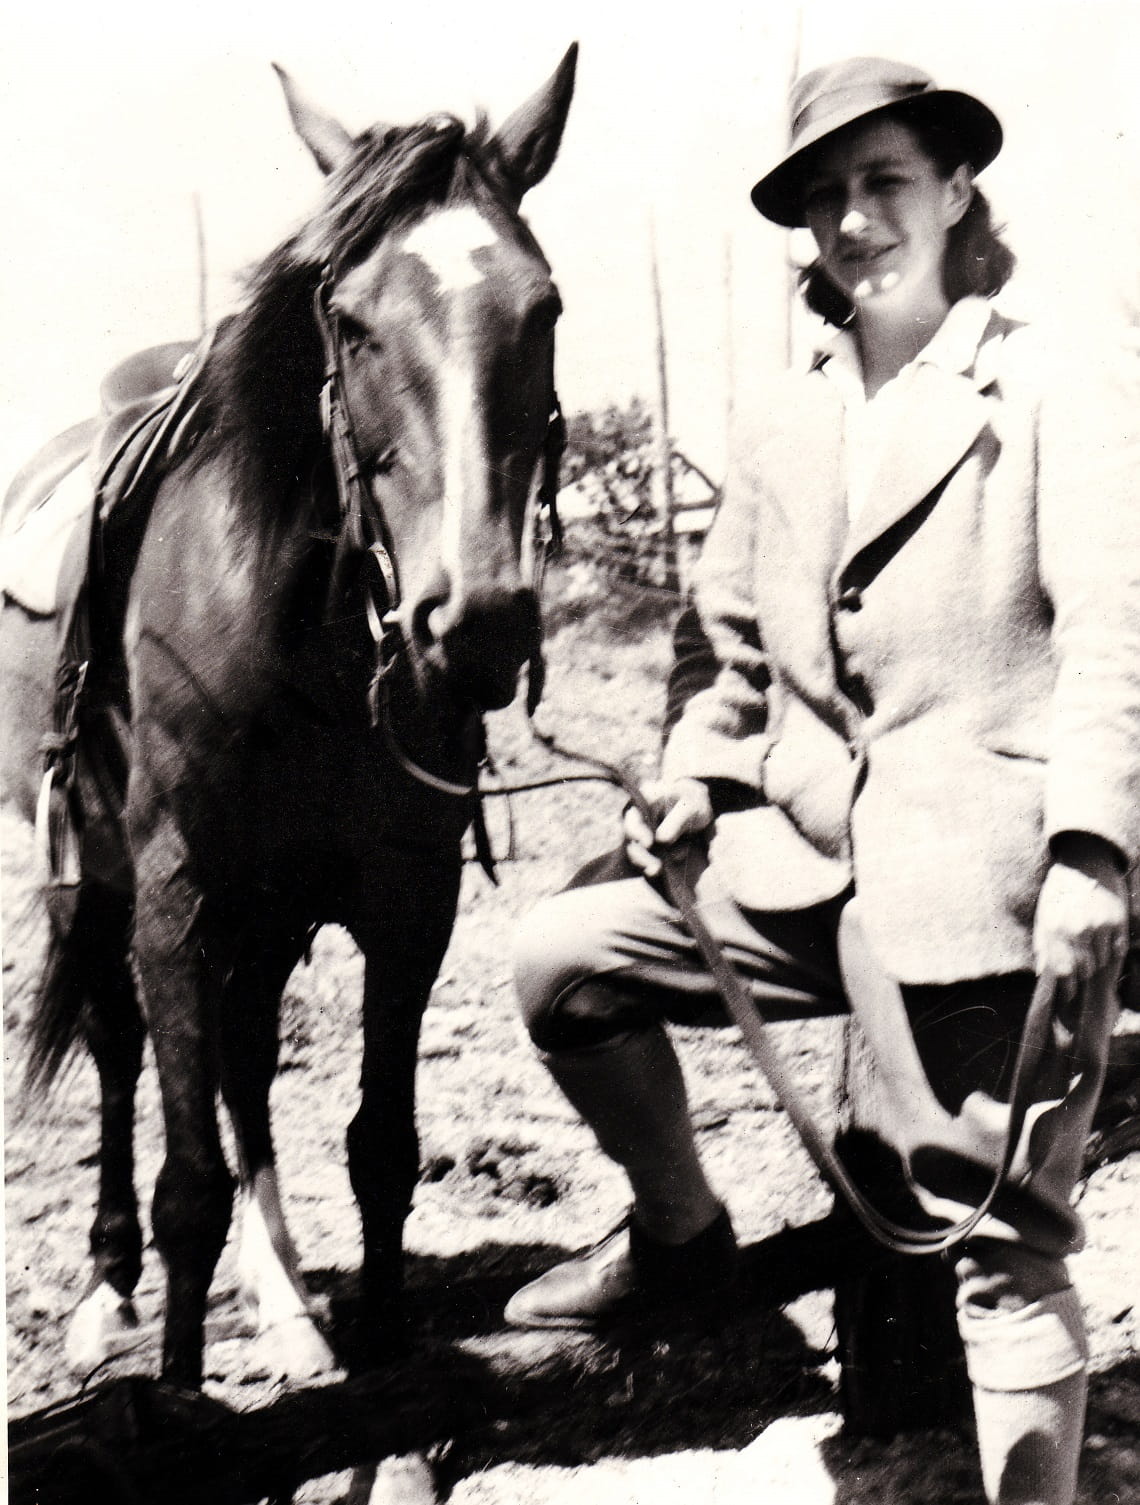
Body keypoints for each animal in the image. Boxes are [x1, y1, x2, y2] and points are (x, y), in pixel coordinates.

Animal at [4, 47, 578, 1384]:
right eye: (352, 321)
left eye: (544, 308)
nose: (476, 618)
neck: (300, 640)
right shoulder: (172, 895)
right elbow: (187, 1182)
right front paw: (174, 1394)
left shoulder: (407, 890)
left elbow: (381, 1143)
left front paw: (383, 1352)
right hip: (88, 878)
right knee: (121, 1053)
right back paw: (108, 1291)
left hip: (266, 907)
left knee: (251, 1055)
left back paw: (284, 1298)